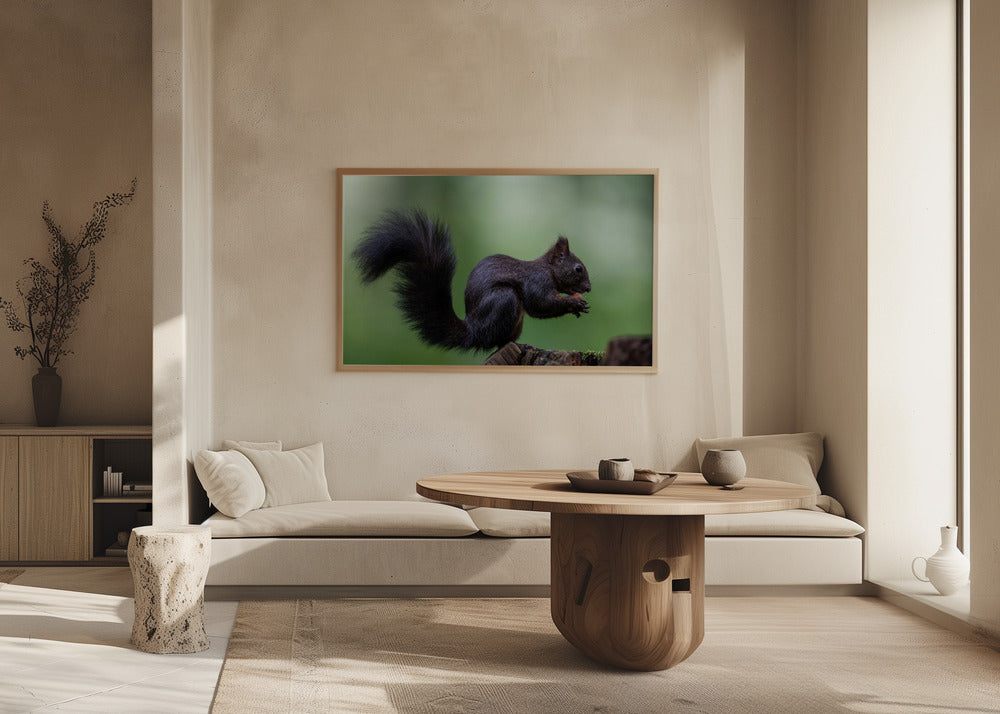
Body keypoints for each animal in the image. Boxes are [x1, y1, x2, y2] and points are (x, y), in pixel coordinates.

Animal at [352, 209, 591, 351]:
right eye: (578, 268)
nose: (588, 288)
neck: (547, 269)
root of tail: (473, 330)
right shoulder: (537, 282)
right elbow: (540, 304)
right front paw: (574, 303)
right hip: (504, 300)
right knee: (494, 341)